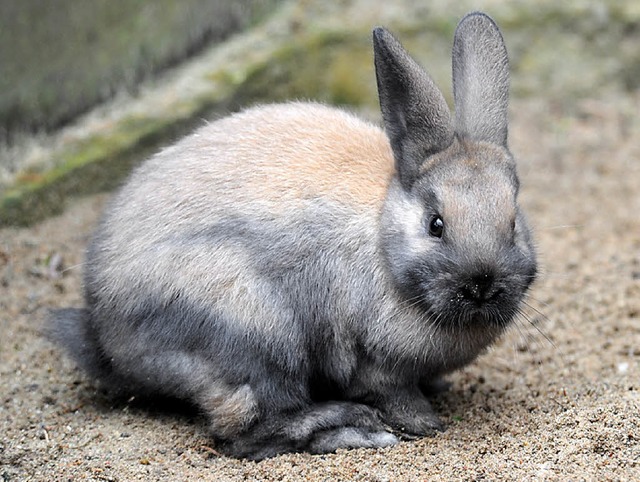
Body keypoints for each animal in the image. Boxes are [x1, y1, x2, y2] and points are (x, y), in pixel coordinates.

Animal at [50, 12, 536, 460]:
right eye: (436, 224)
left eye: (513, 222)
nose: (482, 283)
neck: (385, 238)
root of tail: (104, 335)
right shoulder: (374, 363)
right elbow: (398, 398)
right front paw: (427, 425)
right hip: (255, 335)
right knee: (245, 433)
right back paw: (351, 429)